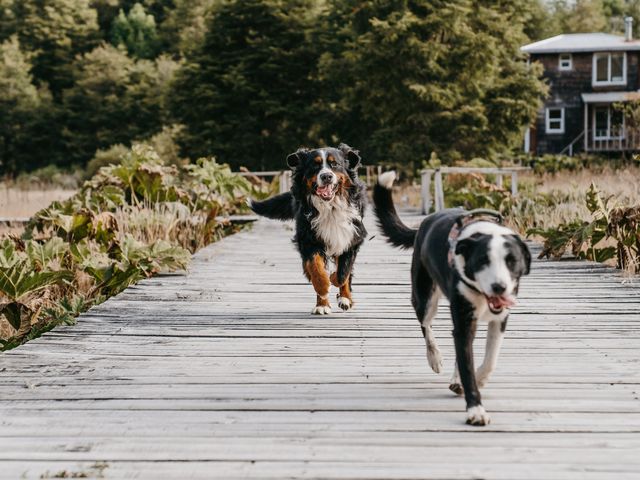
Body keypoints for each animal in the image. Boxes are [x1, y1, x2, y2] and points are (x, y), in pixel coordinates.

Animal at [252, 144, 368, 316]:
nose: (326, 176)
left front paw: (336, 283)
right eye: (315, 165)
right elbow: (316, 268)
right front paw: (323, 290)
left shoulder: (352, 235)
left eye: (335, 164)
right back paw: (322, 303)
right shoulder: (308, 239)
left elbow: (343, 271)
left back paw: (345, 299)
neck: (330, 207)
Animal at [372, 171, 532, 426]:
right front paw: (475, 410)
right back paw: (434, 357)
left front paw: (479, 378)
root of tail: (426, 222)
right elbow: (466, 363)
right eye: (482, 261)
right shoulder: (464, 319)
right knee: (426, 325)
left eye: (512, 261)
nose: (499, 287)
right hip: (425, 297)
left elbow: (489, 359)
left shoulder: (498, 320)